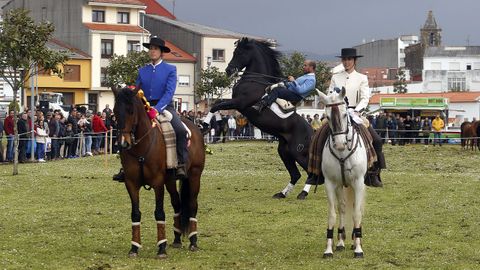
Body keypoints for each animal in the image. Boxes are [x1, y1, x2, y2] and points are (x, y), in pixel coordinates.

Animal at [113, 87, 206, 258]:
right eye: (115, 111)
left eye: (131, 111)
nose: (123, 143)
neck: (142, 146)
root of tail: (195, 126)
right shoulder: (131, 183)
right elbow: (135, 213)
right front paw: (134, 247)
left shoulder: (157, 183)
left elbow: (159, 213)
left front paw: (161, 248)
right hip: (170, 181)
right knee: (177, 204)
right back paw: (176, 239)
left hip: (194, 176)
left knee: (192, 205)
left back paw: (193, 241)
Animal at [204, 37, 314, 199]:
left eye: (239, 53)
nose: (228, 70)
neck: (254, 81)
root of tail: (313, 132)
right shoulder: (236, 103)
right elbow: (216, 104)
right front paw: (208, 123)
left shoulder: (240, 103)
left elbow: (215, 106)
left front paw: (203, 125)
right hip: (284, 151)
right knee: (296, 174)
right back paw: (282, 193)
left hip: (298, 152)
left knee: (312, 173)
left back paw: (303, 193)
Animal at [318, 87, 368, 258]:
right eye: (327, 116)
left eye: (345, 114)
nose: (340, 145)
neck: (341, 153)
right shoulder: (330, 183)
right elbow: (332, 214)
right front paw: (328, 249)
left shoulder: (358, 182)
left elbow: (357, 213)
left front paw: (358, 248)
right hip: (341, 186)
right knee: (343, 208)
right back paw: (340, 241)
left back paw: (355, 240)